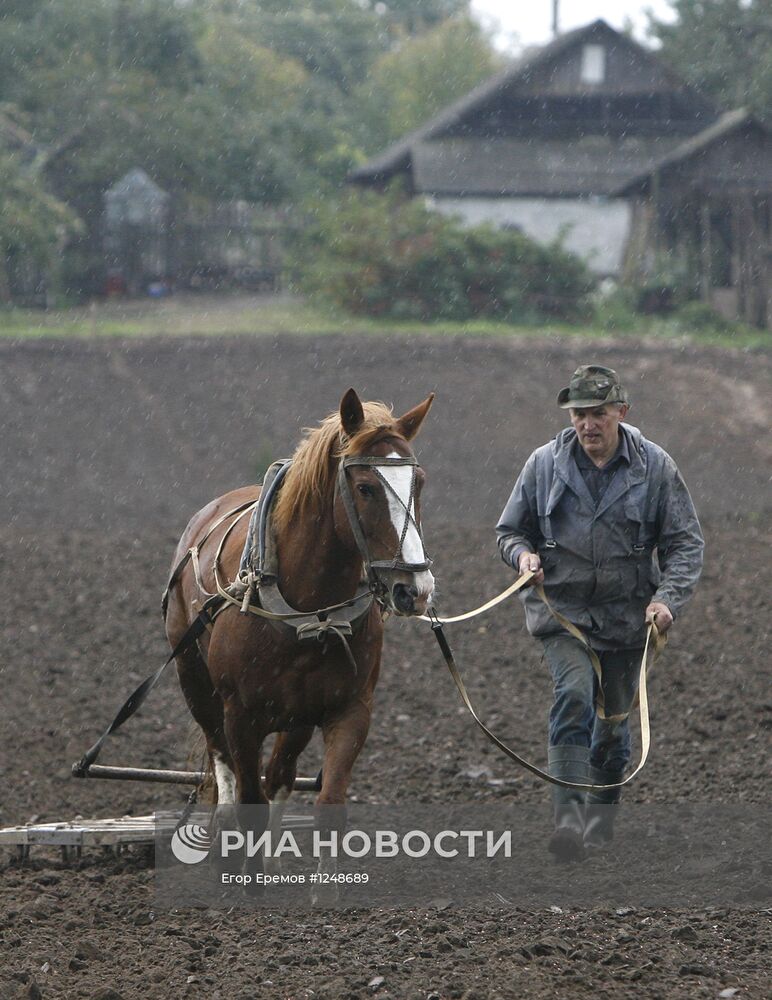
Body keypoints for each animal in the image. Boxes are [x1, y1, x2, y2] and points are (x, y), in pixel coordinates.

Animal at [164, 390, 434, 884]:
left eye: (418, 483)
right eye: (365, 488)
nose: (415, 589)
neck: (314, 612)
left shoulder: (350, 709)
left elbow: (328, 804)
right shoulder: (240, 715)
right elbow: (248, 795)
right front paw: (250, 882)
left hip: (297, 717)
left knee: (280, 774)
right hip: (195, 682)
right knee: (221, 757)